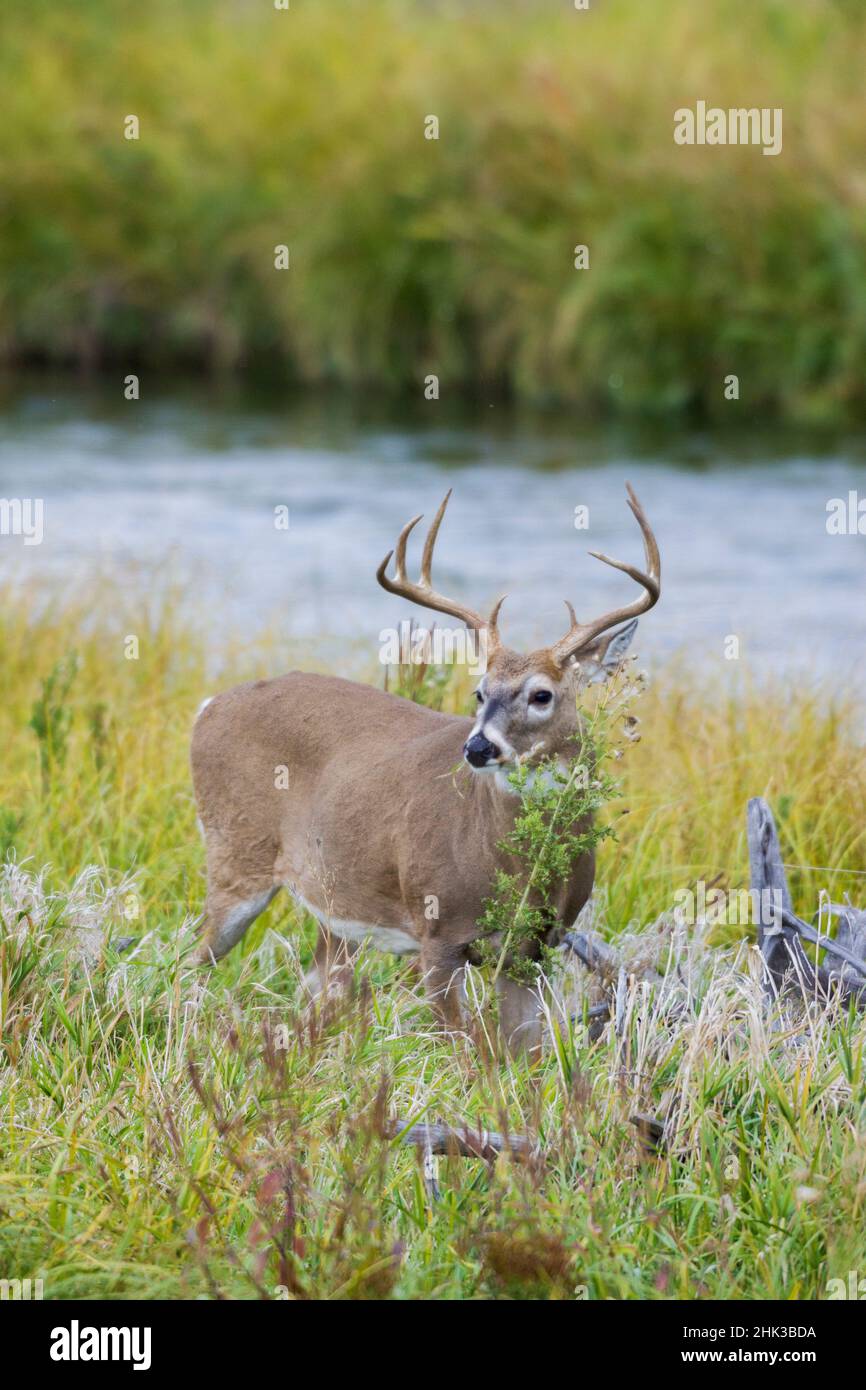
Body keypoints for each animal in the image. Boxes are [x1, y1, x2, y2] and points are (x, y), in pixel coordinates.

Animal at [191, 484, 660, 1053]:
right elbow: (458, 1050)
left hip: (335, 906)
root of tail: (208, 706)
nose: (477, 747)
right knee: (189, 959)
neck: (509, 866)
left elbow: (524, 1052)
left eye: (541, 695)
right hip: (236, 854)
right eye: (479, 691)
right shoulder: (437, 931)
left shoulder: (537, 946)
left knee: (313, 985)